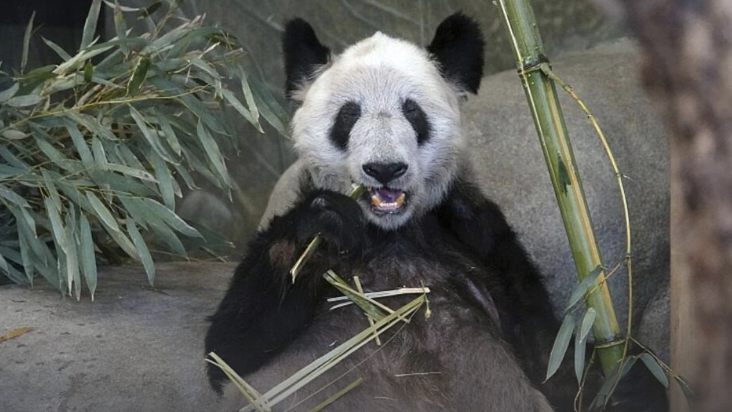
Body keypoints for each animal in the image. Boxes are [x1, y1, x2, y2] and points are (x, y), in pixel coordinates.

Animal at [203, 12, 668, 412]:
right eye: (349, 114)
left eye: (412, 111)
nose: (384, 169)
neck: (388, 231)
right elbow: (231, 350)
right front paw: (323, 225)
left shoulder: (475, 235)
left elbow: (550, 359)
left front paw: (628, 380)